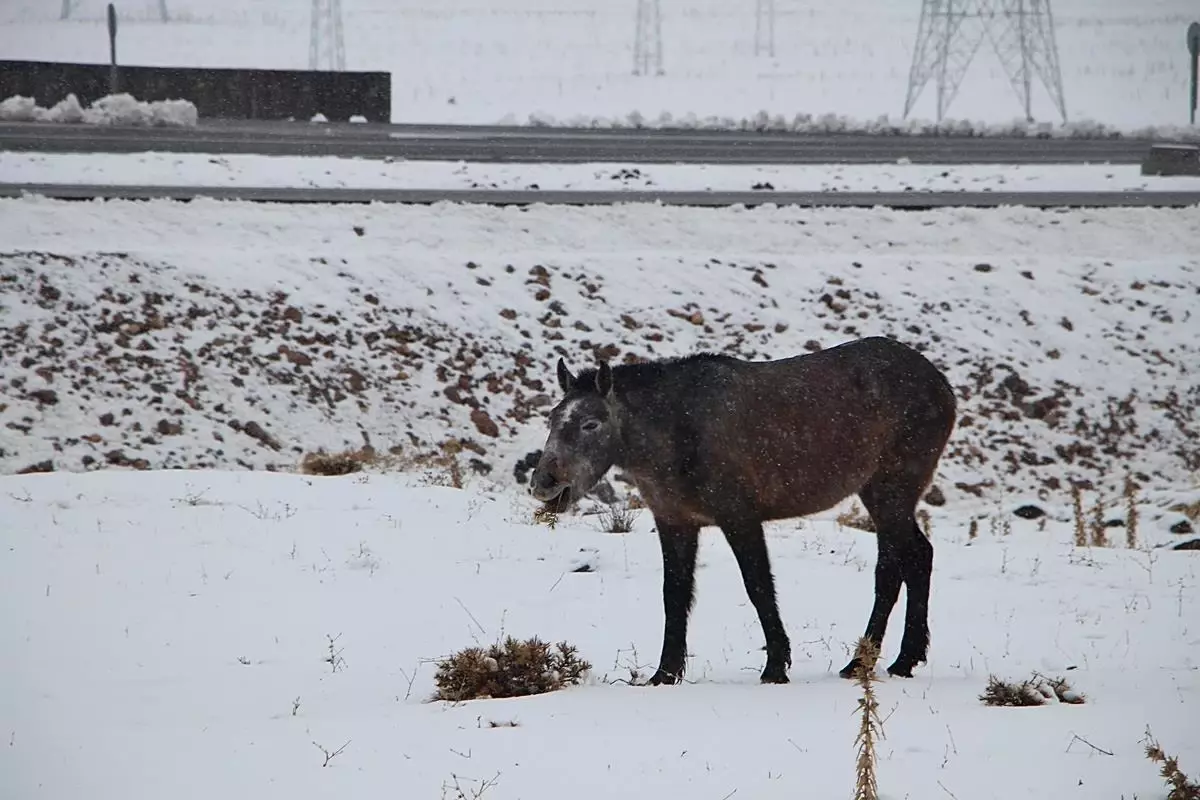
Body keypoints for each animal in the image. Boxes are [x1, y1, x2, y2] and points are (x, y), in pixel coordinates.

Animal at [530, 335, 960, 686]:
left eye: (591, 423)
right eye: (552, 418)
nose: (544, 482)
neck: (671, 436)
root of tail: (944, 387)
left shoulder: (739, 516)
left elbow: (758, 587)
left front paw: (776, 666)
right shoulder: (675, 521)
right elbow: (674, 594)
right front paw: (665, 673)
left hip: (893, 489)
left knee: (899, 566)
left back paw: (873, 661)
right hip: (879, 493)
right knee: (910, 559)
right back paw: (891, 660)